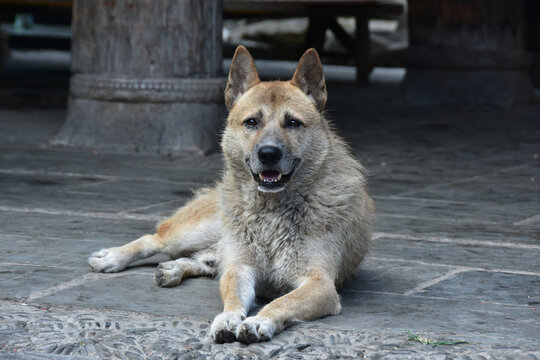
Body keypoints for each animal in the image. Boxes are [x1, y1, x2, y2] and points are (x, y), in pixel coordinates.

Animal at [88, 46, 376, 344]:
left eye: (293, 123)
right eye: (251, 122)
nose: (268, 153)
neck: (272, 210)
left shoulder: (320, 284)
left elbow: (281, 302)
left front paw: (260, 320)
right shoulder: (242, 268)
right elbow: (234, 296)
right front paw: (228, 317)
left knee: (205, 261)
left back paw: (174, 269)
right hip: (199, 230)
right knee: (155, 239)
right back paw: (113, 258)